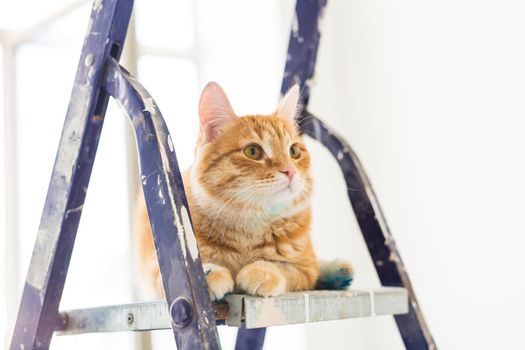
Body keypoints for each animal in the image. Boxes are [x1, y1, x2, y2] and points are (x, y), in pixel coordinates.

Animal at [135, 82, 352, 300]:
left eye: (294, 151)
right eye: (253, 151)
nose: (290, 171)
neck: (249, 228)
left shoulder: (305, 268)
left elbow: (283, 267)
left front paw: (262, 270)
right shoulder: (160, 272)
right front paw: (208, 274)